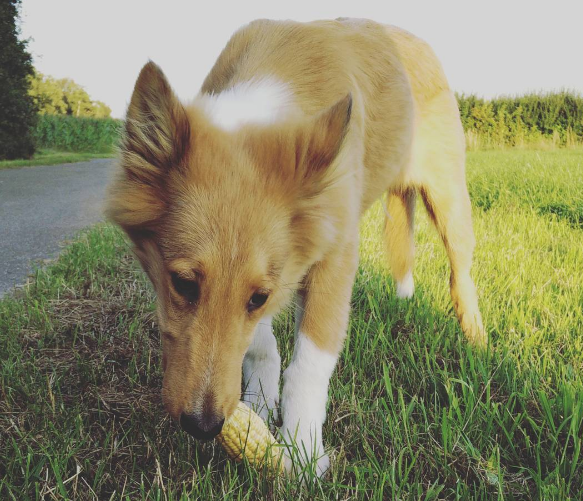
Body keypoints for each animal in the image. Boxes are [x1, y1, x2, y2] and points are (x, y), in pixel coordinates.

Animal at [106, 17, 488, 474]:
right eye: (183, 284)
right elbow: (260, 345)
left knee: (461, 275)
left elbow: (310, 363)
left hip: (450, 201)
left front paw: (303, 451)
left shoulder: (335, 255)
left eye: (257, 297)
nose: (203, 426)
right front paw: (258, 403)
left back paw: (477, 339)